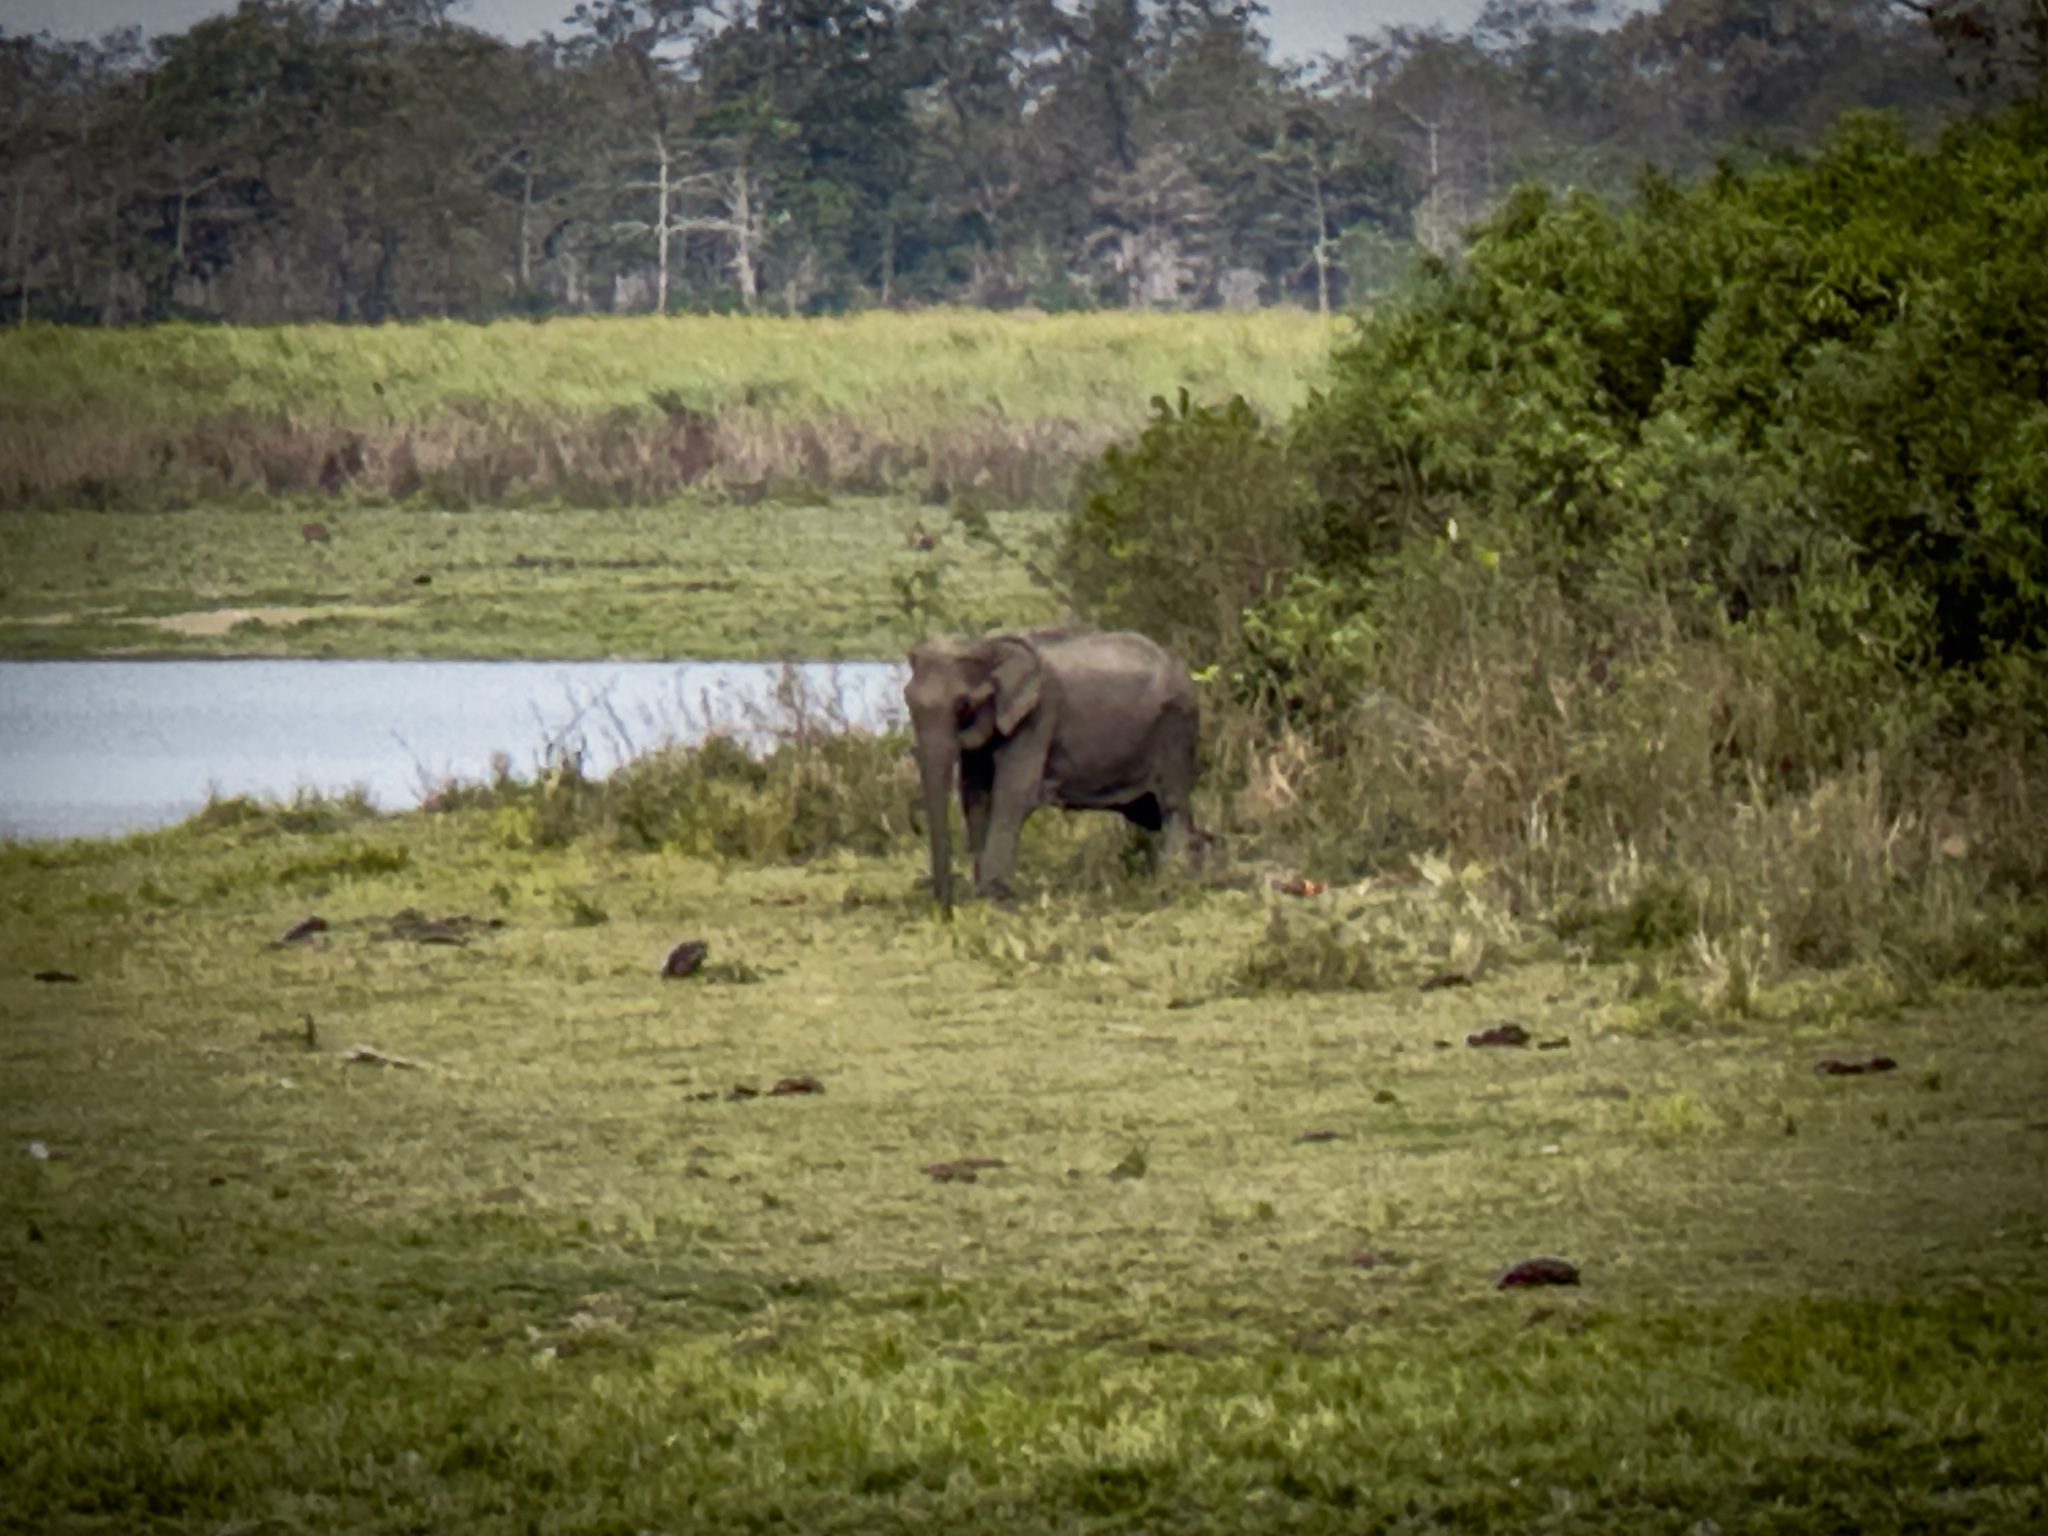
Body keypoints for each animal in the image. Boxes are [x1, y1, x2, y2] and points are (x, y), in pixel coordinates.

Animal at [905, 628, 1199, 912]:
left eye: (963, 704)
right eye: (907, 702)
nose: (945, 910)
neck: (983, 643)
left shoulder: (1038, 715)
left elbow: (1014, 793)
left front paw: (995, 899)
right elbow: (975, 795)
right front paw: (985, 897)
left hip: (1176, 727)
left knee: (1172, 806)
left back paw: (1171, 885)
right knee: (1153, 814)